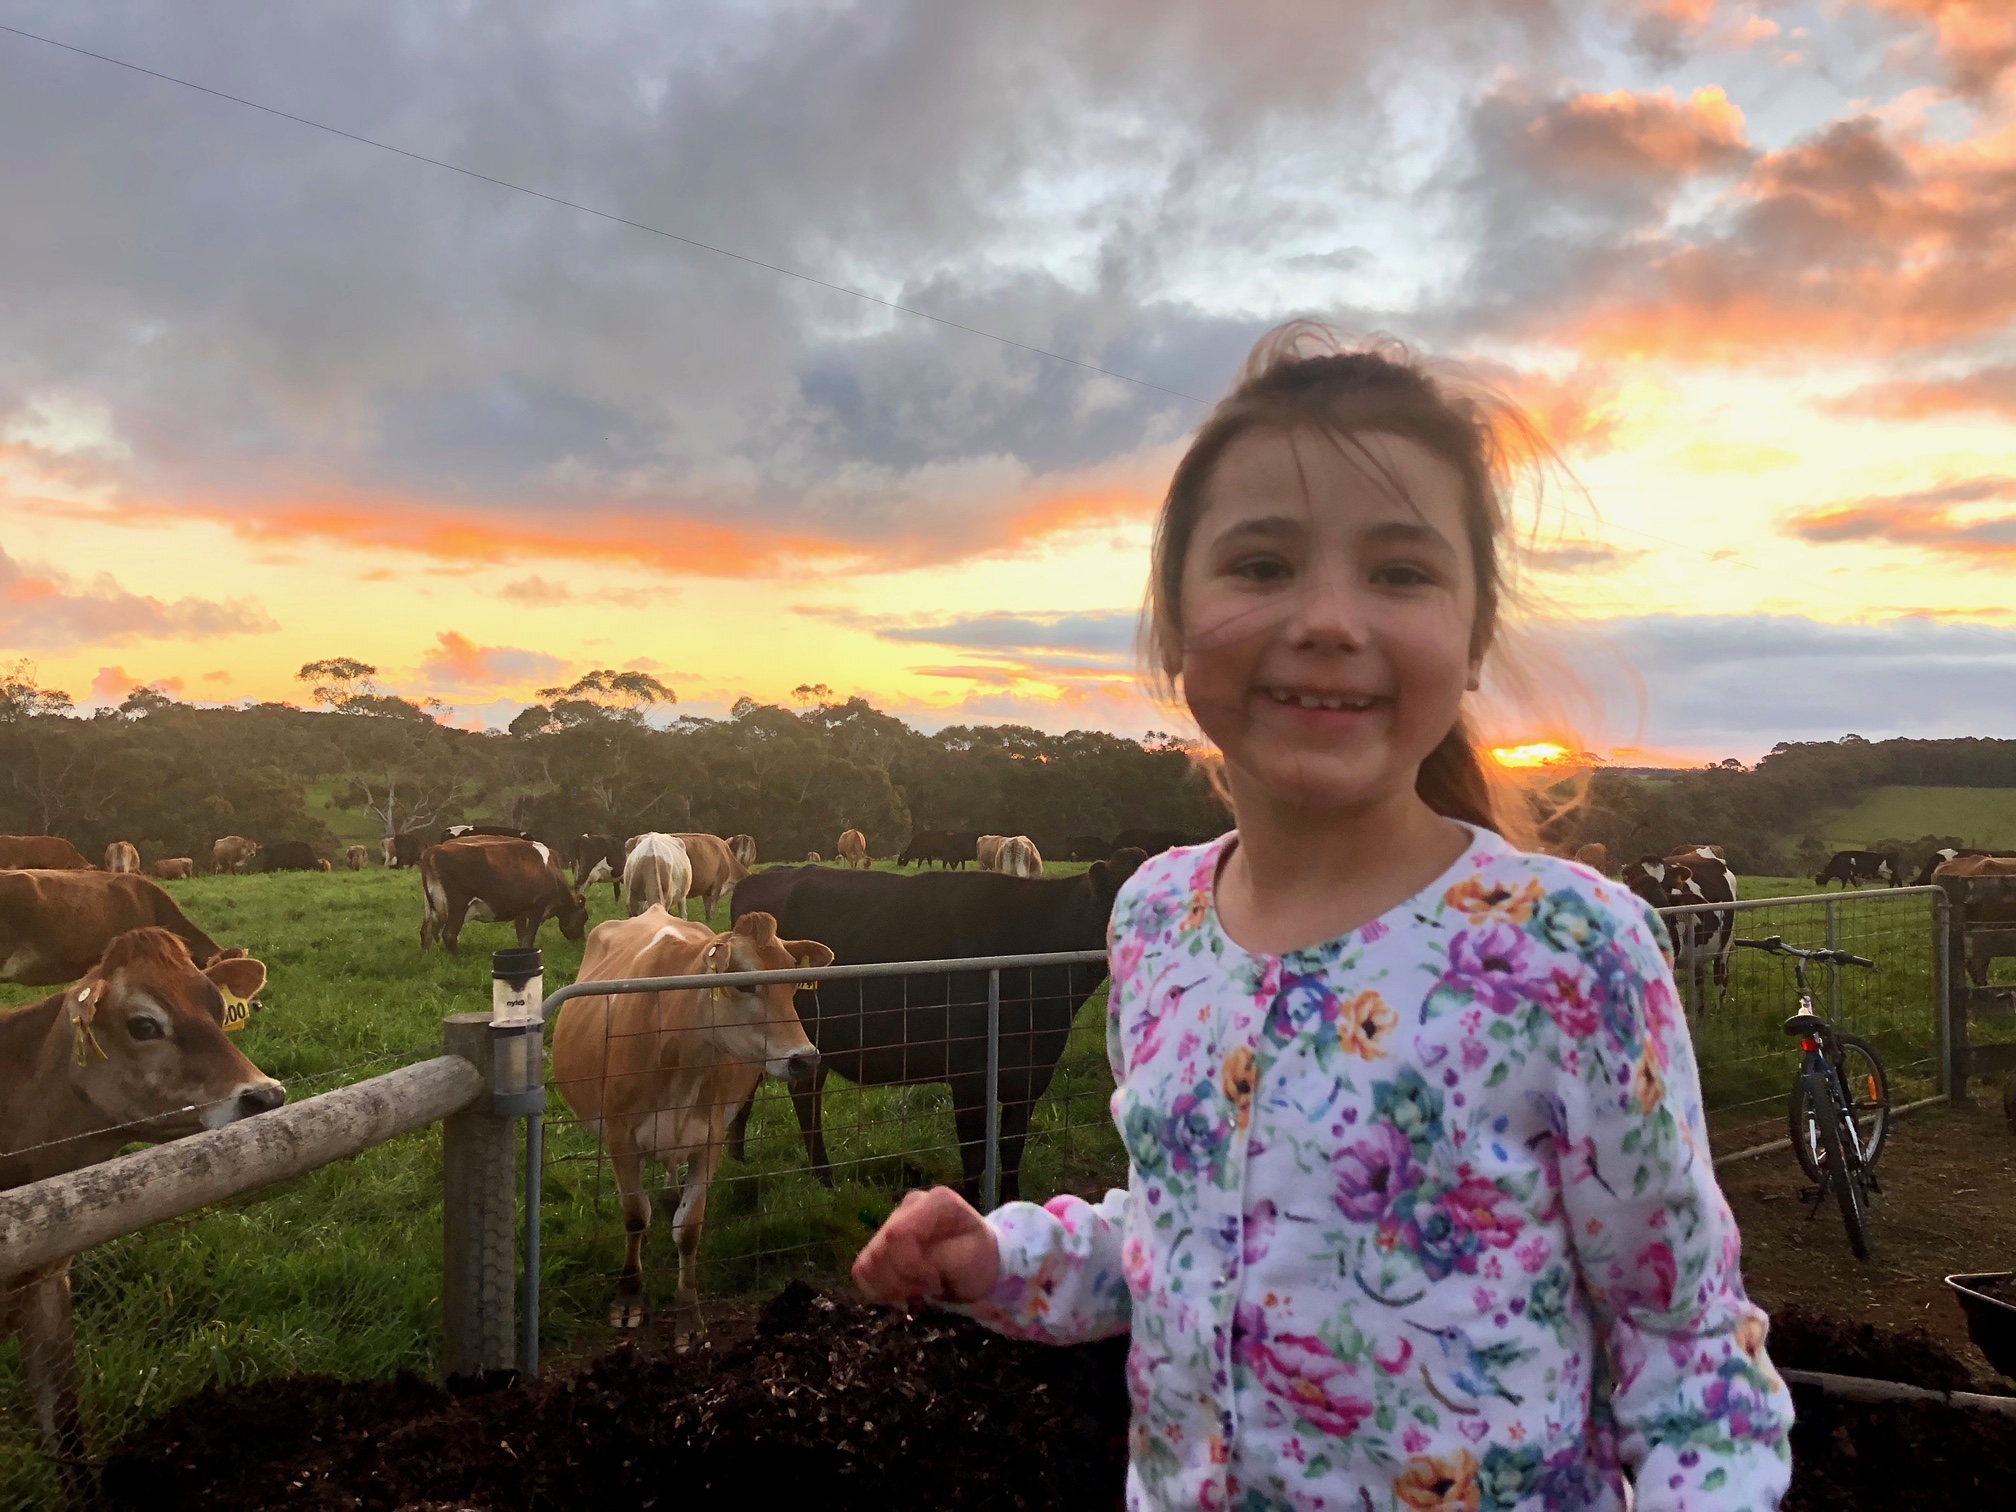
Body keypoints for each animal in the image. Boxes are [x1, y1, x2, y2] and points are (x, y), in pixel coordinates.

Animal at [419, 834, 588, 951]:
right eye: (585, 918)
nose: (583, 941)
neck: (551, 870)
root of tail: (434, 850)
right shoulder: (538, 906)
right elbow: (528, 938)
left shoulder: (520, 911)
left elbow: (522, 936)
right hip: (458, 905)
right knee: (449, 934)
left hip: (429, 906)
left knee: (425, 932)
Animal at [548, 907, 830, 1346]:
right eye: (743, 983)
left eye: (791, 982)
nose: (805, 1059)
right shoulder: (620, 1138)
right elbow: (635, 1216)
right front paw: (628, 1297)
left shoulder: (709, 1139)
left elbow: (689, 1228)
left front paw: (689, 1317)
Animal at [725, 854, 1145, 1209]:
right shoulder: (970, 1077)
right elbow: (975, 1154)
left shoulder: (1032, 1075)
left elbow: (1012, 1149)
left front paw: (1014, 1204)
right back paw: (819, 1179)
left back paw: (743, 1162)